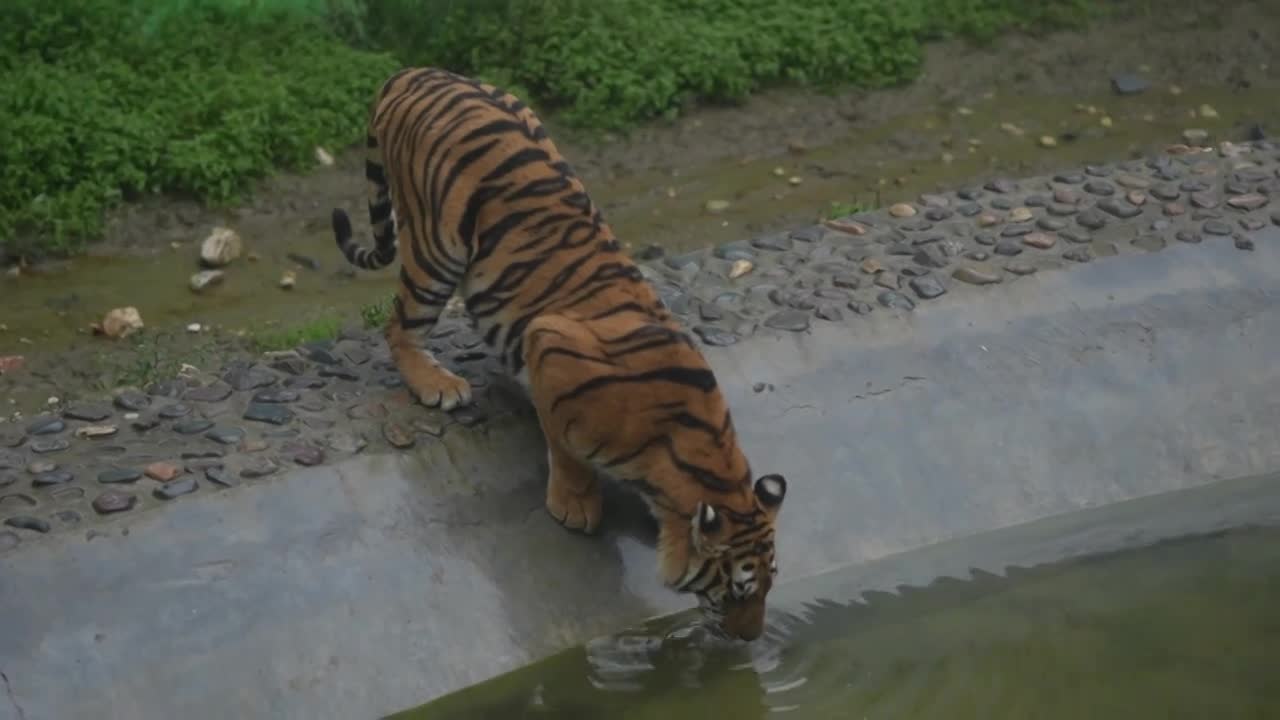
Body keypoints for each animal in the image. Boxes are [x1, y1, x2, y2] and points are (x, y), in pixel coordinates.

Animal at [330, 68, 788, 638]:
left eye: (770, 585)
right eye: (736, 591)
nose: (751, 638)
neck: (696, 453)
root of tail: (416, 73)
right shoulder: (549, 343)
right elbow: (564, 444)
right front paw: (575, 504)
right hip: (437, 247)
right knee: (398, 326)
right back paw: (437, 384)